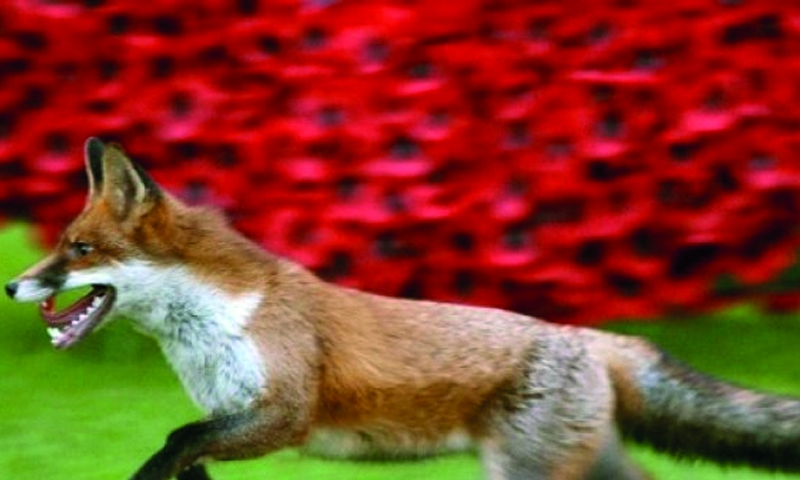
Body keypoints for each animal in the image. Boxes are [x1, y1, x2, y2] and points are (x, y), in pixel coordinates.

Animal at [6, 137, 800, 480]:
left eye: (79, 250)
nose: (12, 287)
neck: (219, 323)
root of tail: (589, 337)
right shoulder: (229, 419)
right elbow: (183, 451)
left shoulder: (283, 413)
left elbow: (174, 440)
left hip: (529, 474)